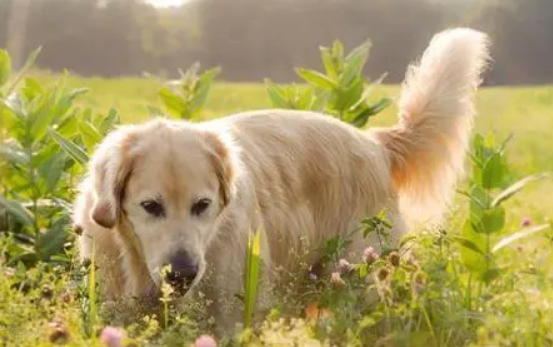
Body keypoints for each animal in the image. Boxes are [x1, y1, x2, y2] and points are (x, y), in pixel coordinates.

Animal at [72, 28, 488, 334]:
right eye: (150, 206)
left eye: (202, 205)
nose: (183, 274)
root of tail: (375, 143)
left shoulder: (231, 314)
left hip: (365, 276)